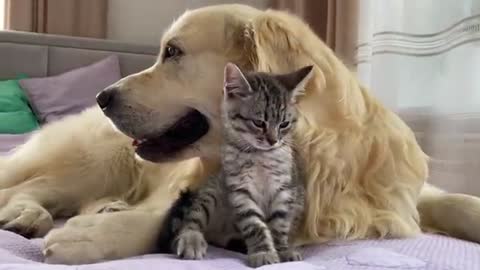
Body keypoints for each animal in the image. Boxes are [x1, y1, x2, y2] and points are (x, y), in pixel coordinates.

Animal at [159, 63, 314, 268]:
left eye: (284, 124)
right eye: (259, 123)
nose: (273, 141)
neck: (259, 156)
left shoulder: (285, 189)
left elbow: (280, 224)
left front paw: (282, 250)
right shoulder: (240, 190)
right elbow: (254, 224)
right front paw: (263, 252)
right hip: (213, 191)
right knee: (191, 219)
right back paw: (191, 240)